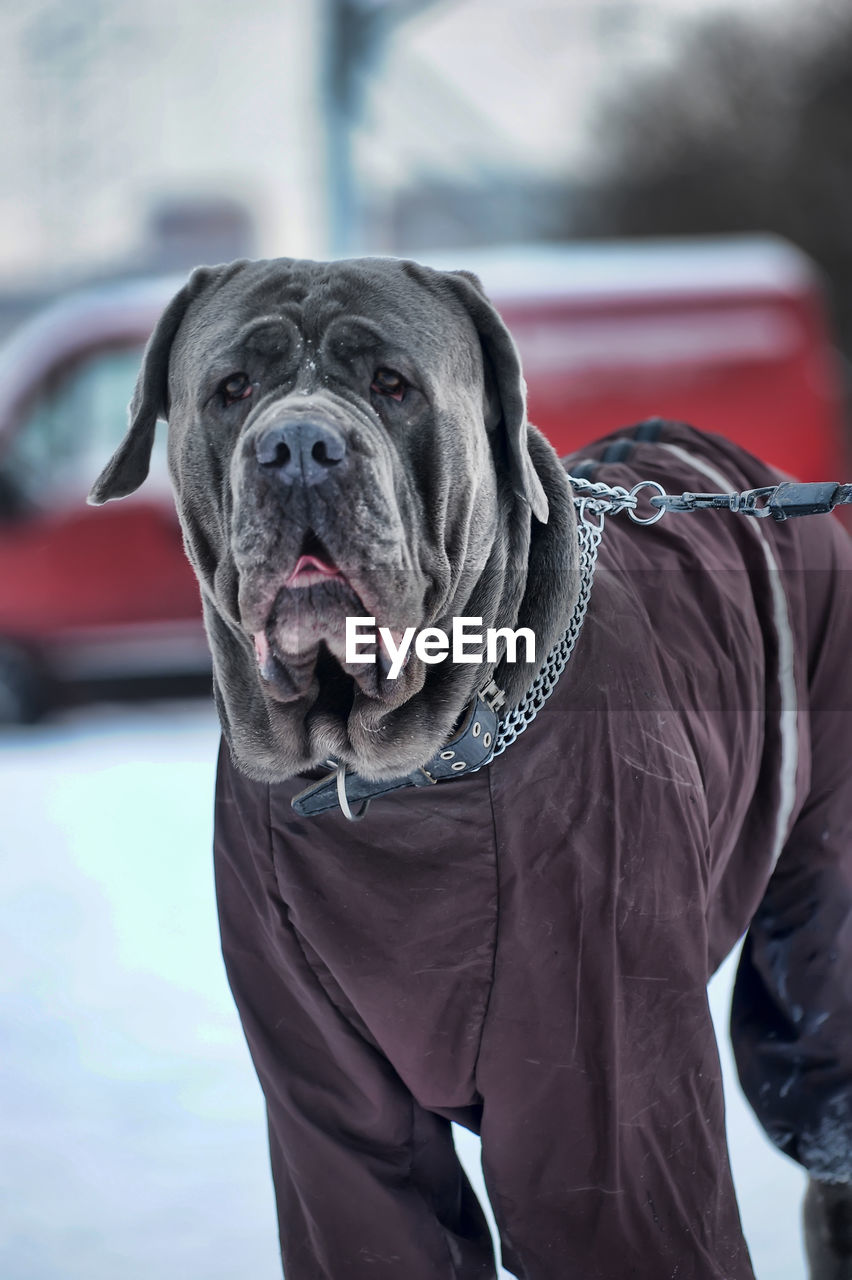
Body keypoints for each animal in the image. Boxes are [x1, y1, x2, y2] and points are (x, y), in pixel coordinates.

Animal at [91, 257, 849, 1280]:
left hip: (821, 923)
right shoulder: (325, 1104)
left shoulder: (607, 1099)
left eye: (393, 385)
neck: (393, 787)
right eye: (233, 389)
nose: (298, 447)